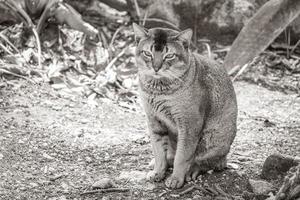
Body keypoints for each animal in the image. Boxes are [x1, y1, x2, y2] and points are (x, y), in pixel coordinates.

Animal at [132, 22, 238, 188]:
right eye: (148, 53)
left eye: (169, 55)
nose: (156, 67)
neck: (158, 90)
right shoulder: (154, 120)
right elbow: (158, 152)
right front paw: (158, 172)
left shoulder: (189, 124)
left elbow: (182, 156)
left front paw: (176, 178)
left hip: (214, 138)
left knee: (210, 162)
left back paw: (192, 170)